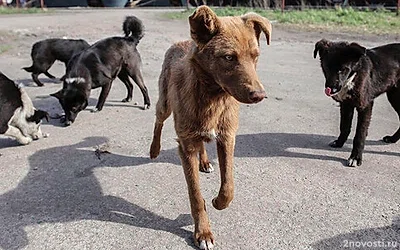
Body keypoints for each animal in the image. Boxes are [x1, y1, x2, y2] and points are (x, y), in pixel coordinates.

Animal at [150, 6, 272, 250]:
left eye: (255, 56)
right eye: (228, 57)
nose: (259, 95)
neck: (212, 98)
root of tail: (181, 42)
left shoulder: (227, 138)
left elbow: (229, 186)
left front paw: (218, 201)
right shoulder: (186, 146)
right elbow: (195, 195)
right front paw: (203, 233)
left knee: (203, 144)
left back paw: (205, 162)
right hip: (165, 104)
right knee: (158, 121)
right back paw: (154, 149)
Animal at [314, 39, 398, 167]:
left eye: (343, 69)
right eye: (326, 67)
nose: (332, 89)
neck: (353, 76)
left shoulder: (365, 105)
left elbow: (360, 134)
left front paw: (355, 157)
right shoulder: (346, 104)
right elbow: (344, 127)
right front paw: (339, 143)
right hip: (394, 96)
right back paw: (392, 139)